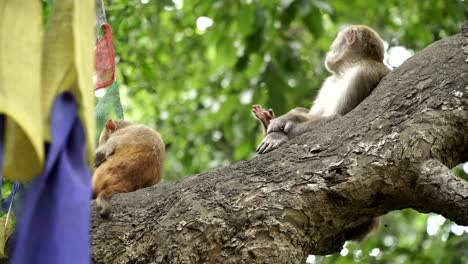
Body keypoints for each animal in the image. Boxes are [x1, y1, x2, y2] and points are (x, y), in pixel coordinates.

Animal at [256, 24, 392, 155]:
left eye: (335, 42)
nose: (328, 54)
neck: (348, 68)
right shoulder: (329, 82)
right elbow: (312, 115)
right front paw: (279, 119)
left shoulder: (361, 73)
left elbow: (337, 117)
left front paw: (277, 136)